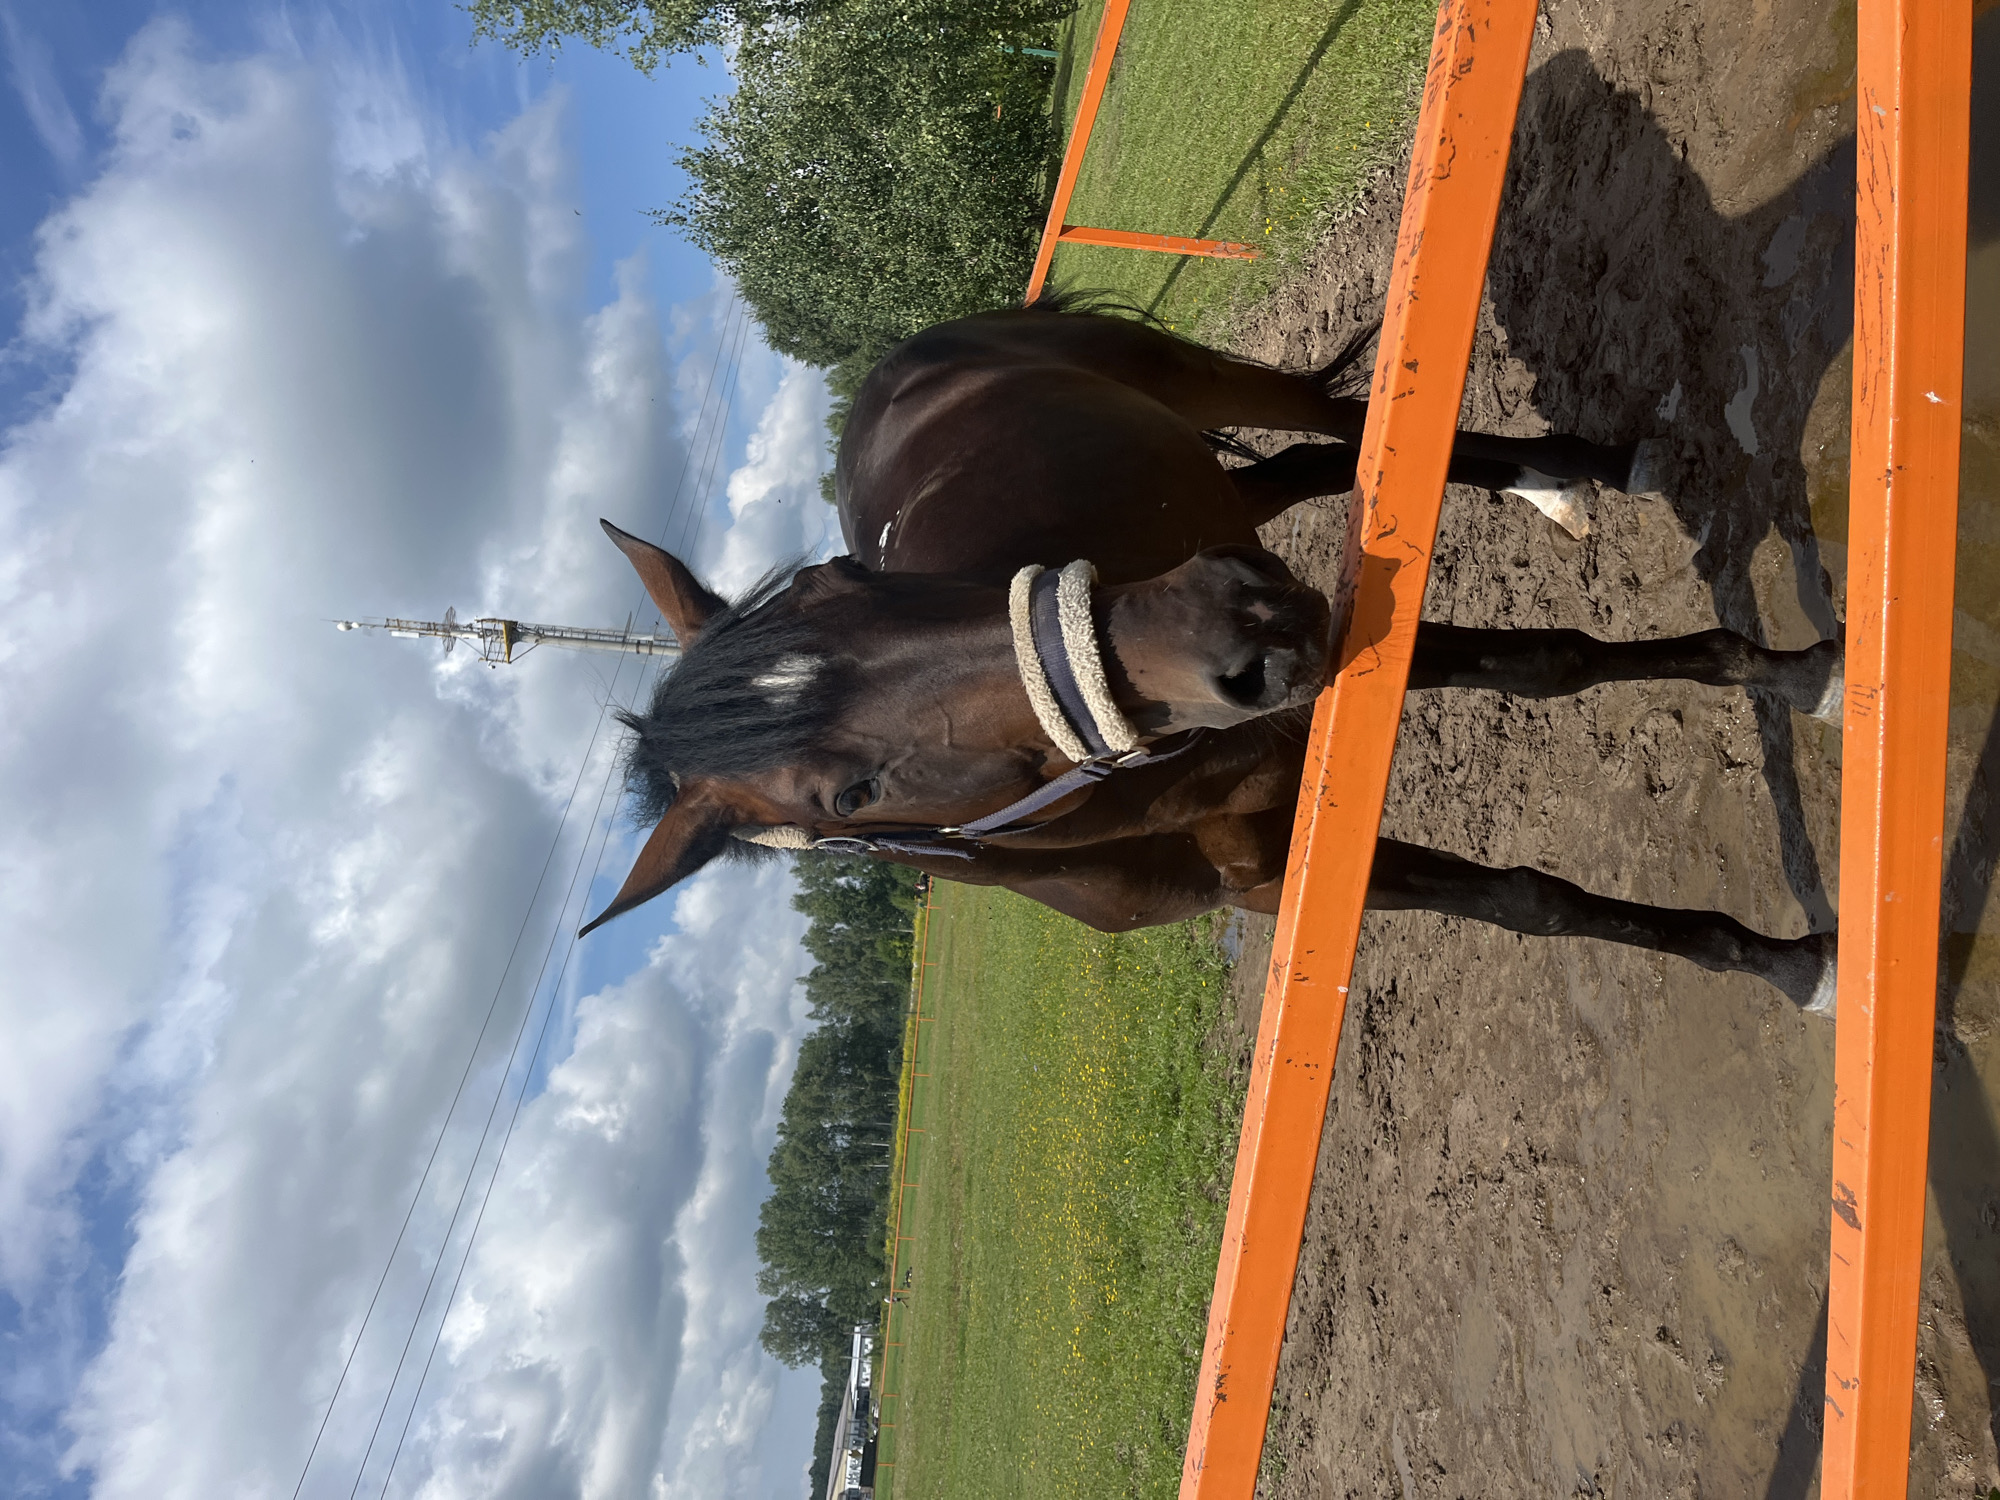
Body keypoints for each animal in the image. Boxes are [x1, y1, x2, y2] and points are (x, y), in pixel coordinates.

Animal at [580, 300, 1842, 1012]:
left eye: (842, 578)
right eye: (846, 795)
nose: (1241, 630)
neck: (1152, 789)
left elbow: (1552, 665)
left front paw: (1795, 674)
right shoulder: (1278, 867)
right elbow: (1527, 899)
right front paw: (1778, 965)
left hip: (1192, 384)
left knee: (1331, 426)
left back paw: (1576, 468)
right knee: (1306, 470)